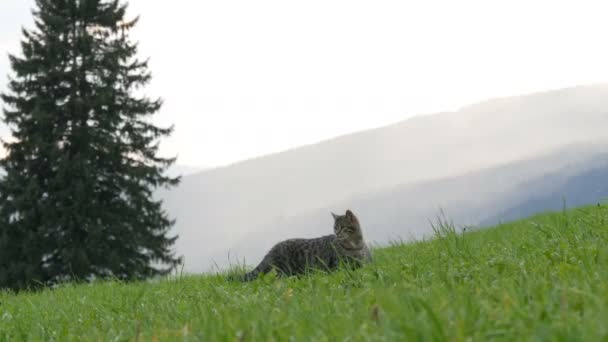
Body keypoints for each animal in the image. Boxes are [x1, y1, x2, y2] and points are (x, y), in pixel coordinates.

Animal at [235, 210, 372, 282]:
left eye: (342, 227)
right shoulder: (339, 266)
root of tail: (274, 247)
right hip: (285, 272)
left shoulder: (362, 264)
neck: (355, 245)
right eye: (335, 228)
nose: (337, 233)